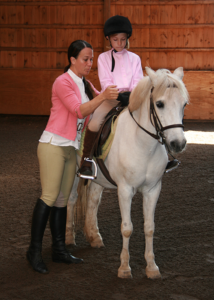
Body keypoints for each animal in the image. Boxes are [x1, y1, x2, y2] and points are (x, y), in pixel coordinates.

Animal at [65, 67, 189, 278]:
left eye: (184, 104)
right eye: (159, 104)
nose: (178, 144)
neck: (143, 144)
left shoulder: (153, 190)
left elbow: (149, 228)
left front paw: (152, 267)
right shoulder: (124, 190)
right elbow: (127, 228)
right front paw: (124, 268)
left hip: (98, 179)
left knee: (93, 201)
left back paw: (94, 237)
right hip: (74, 173)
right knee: (72, 200)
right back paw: (69, 238)